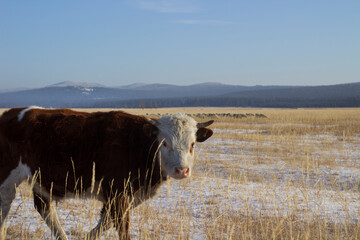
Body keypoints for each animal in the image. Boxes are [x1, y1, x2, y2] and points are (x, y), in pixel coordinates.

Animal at [0, 107, 214, 240]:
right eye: (165, 143)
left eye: (192, 144)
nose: (182, 170)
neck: (137, 143)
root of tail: (12, 113)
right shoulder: (117, 192)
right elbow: (121, 228)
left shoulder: (126, 196)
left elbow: (105, 222)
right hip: (8, 176)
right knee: (5, 203)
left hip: (41, 180)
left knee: (44, 207)